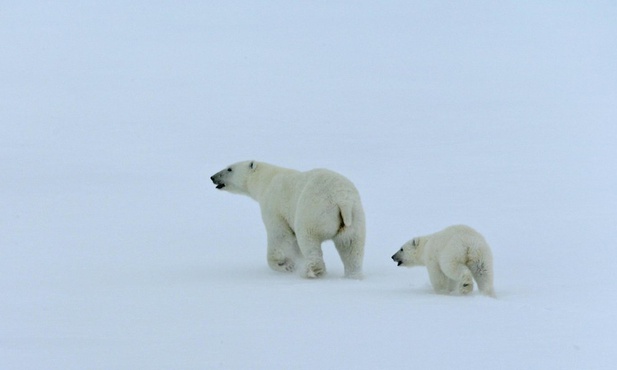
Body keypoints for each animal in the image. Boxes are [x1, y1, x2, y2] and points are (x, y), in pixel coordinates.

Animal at [212, 160, 366, 278]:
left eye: (229, 168)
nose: (212, 177)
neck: (266, 180)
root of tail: (342, 201)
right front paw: (293, 263)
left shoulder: (274, 205)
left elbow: (280, 235)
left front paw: (284, 265)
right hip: (354, 218)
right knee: (351, 247)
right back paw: (353, 275)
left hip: (314, 212)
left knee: (309, 239)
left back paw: (311, 271)